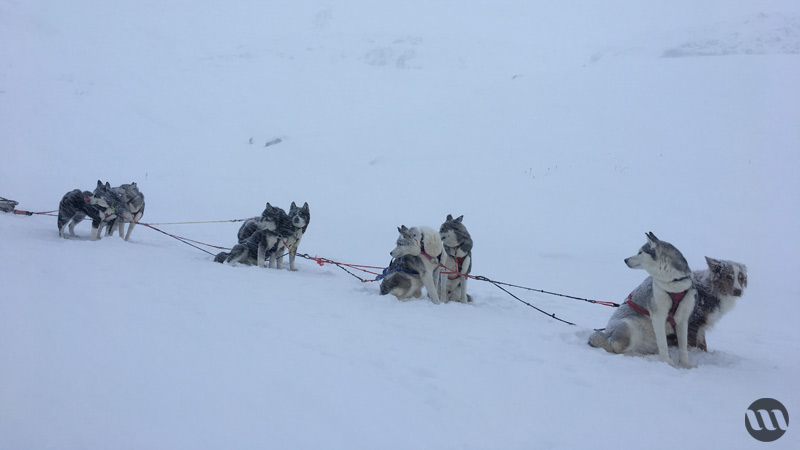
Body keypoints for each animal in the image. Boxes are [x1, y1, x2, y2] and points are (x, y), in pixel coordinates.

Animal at [592, 234, 696, 368]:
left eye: (640, 252)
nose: (625, 260)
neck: (673, 283)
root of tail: (606, 336)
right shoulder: (658, 317)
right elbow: (663, 344)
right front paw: (667, 363)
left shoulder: (682, 320)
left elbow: (683, 346)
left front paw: (685, 364)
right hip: (630, 325)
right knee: (617, 349)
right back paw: (636, 356)